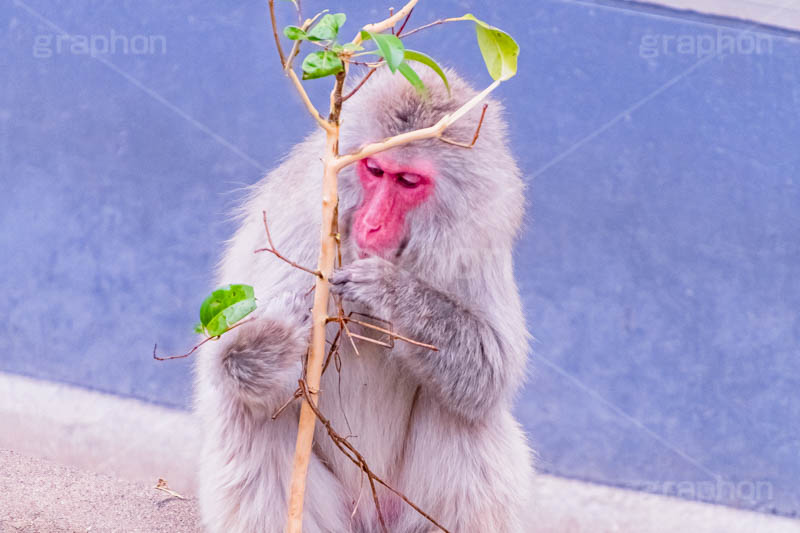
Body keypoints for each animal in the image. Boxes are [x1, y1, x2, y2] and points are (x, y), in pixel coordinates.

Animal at [192, 67, 532, 532]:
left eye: (407, 180)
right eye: (374, 169)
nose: (371, 224)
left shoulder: (478, 242)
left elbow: (491, 370)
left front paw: (389, 291)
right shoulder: (302, 224)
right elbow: (225, 359)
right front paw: (279, 337)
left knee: (462, 413)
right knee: (247, 411)